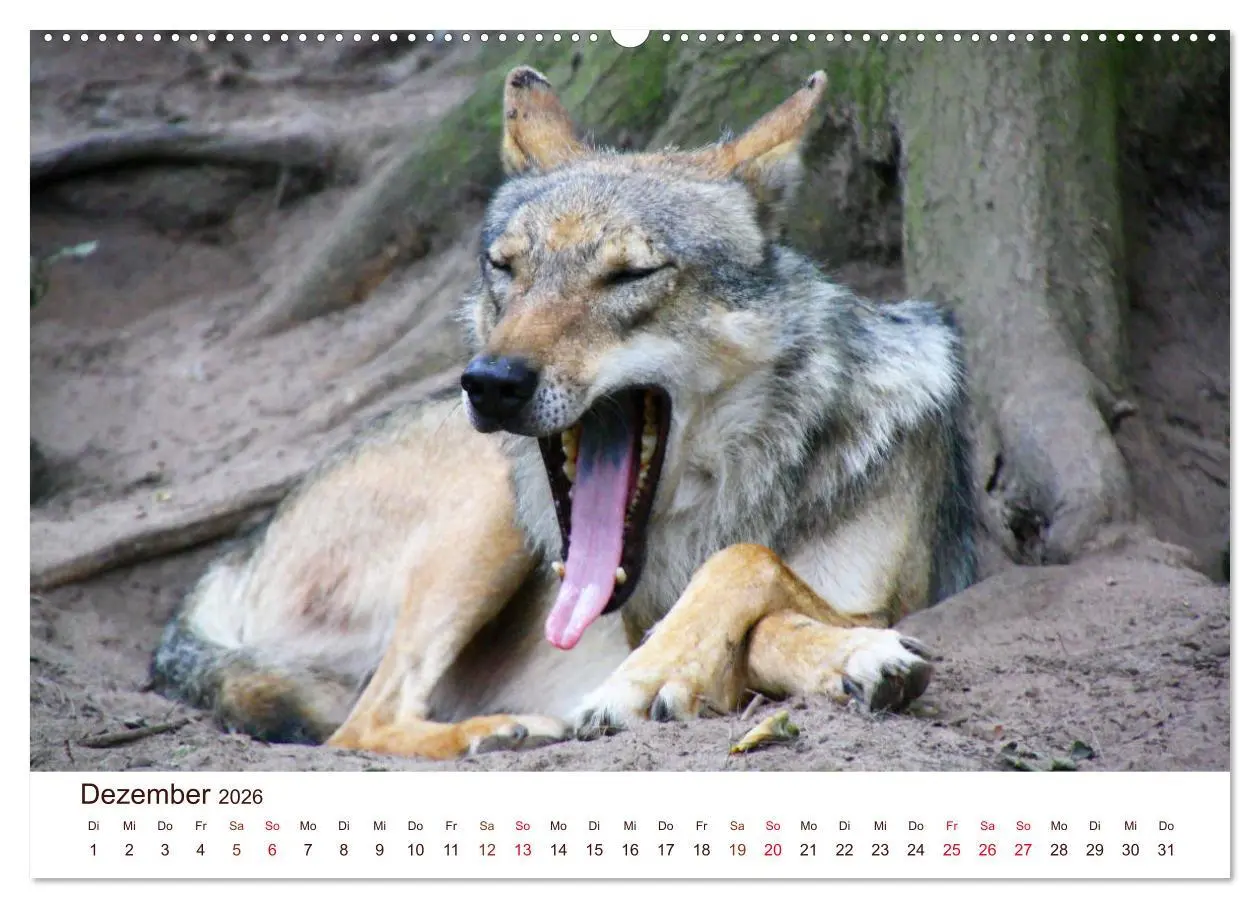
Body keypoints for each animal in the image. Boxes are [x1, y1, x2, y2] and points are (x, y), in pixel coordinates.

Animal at [149, 66, 977, 760]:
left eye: (631, 274)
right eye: (506, 268)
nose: (490, 383)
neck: (747, 486)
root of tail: (236, 555)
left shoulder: (903, 597)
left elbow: (748, 569)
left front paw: (836, 659)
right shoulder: (642, 611)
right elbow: (749, 586)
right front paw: (647, 680)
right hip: (488, 514)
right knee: (359, 725)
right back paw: (502, 730)